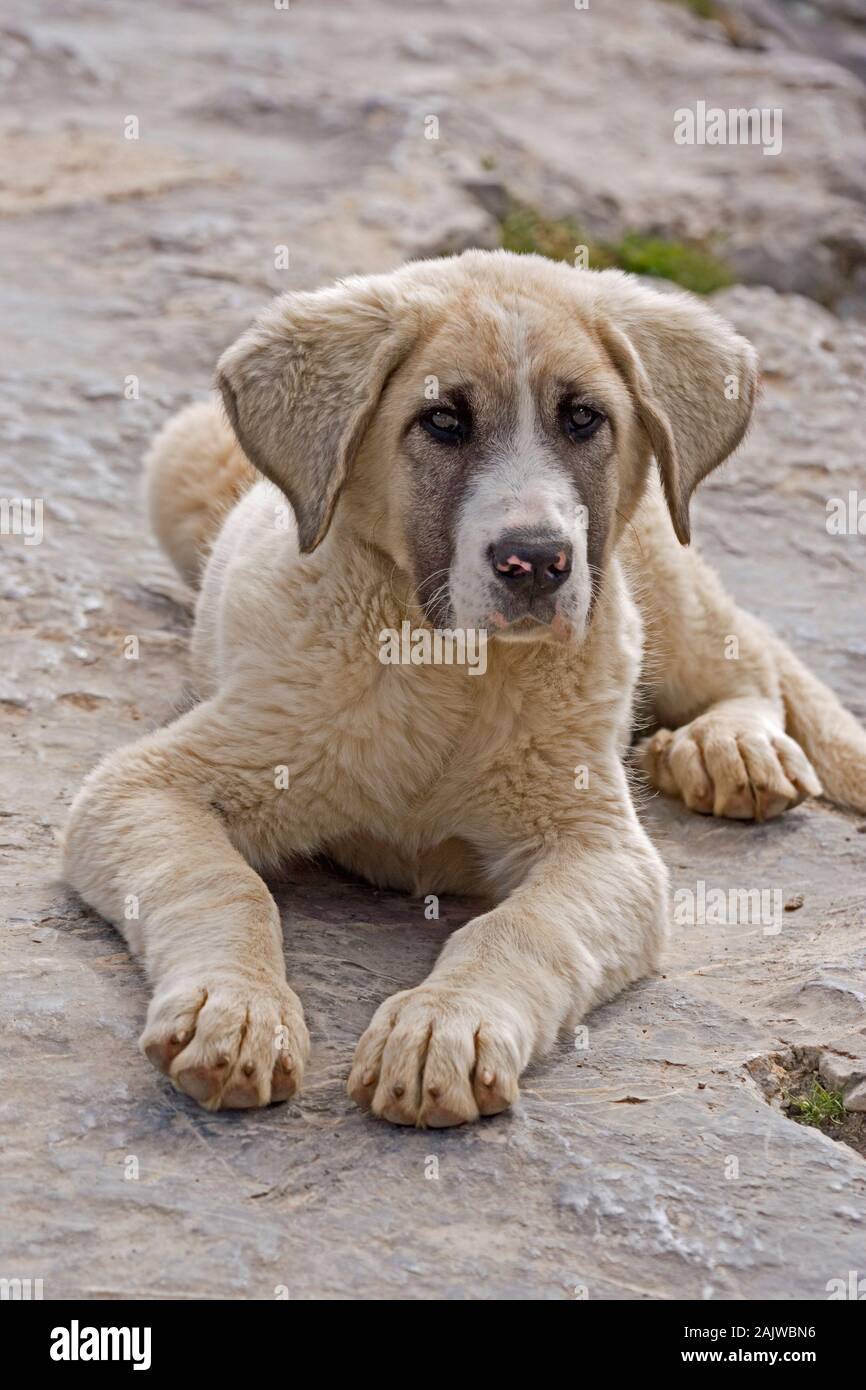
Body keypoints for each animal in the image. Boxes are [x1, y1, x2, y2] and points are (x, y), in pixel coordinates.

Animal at [62, 250, 866, 1123]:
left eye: (583, 419)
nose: (536, 560)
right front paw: (234, 1009)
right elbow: (222, 884)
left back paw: (735, 745)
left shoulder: (600, 848)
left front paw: (443, 1027)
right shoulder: (153, 781)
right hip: (177, 466)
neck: (451, 669)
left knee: (744, 654)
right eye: (443, 421)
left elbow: (522, 931)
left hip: (658, 567)